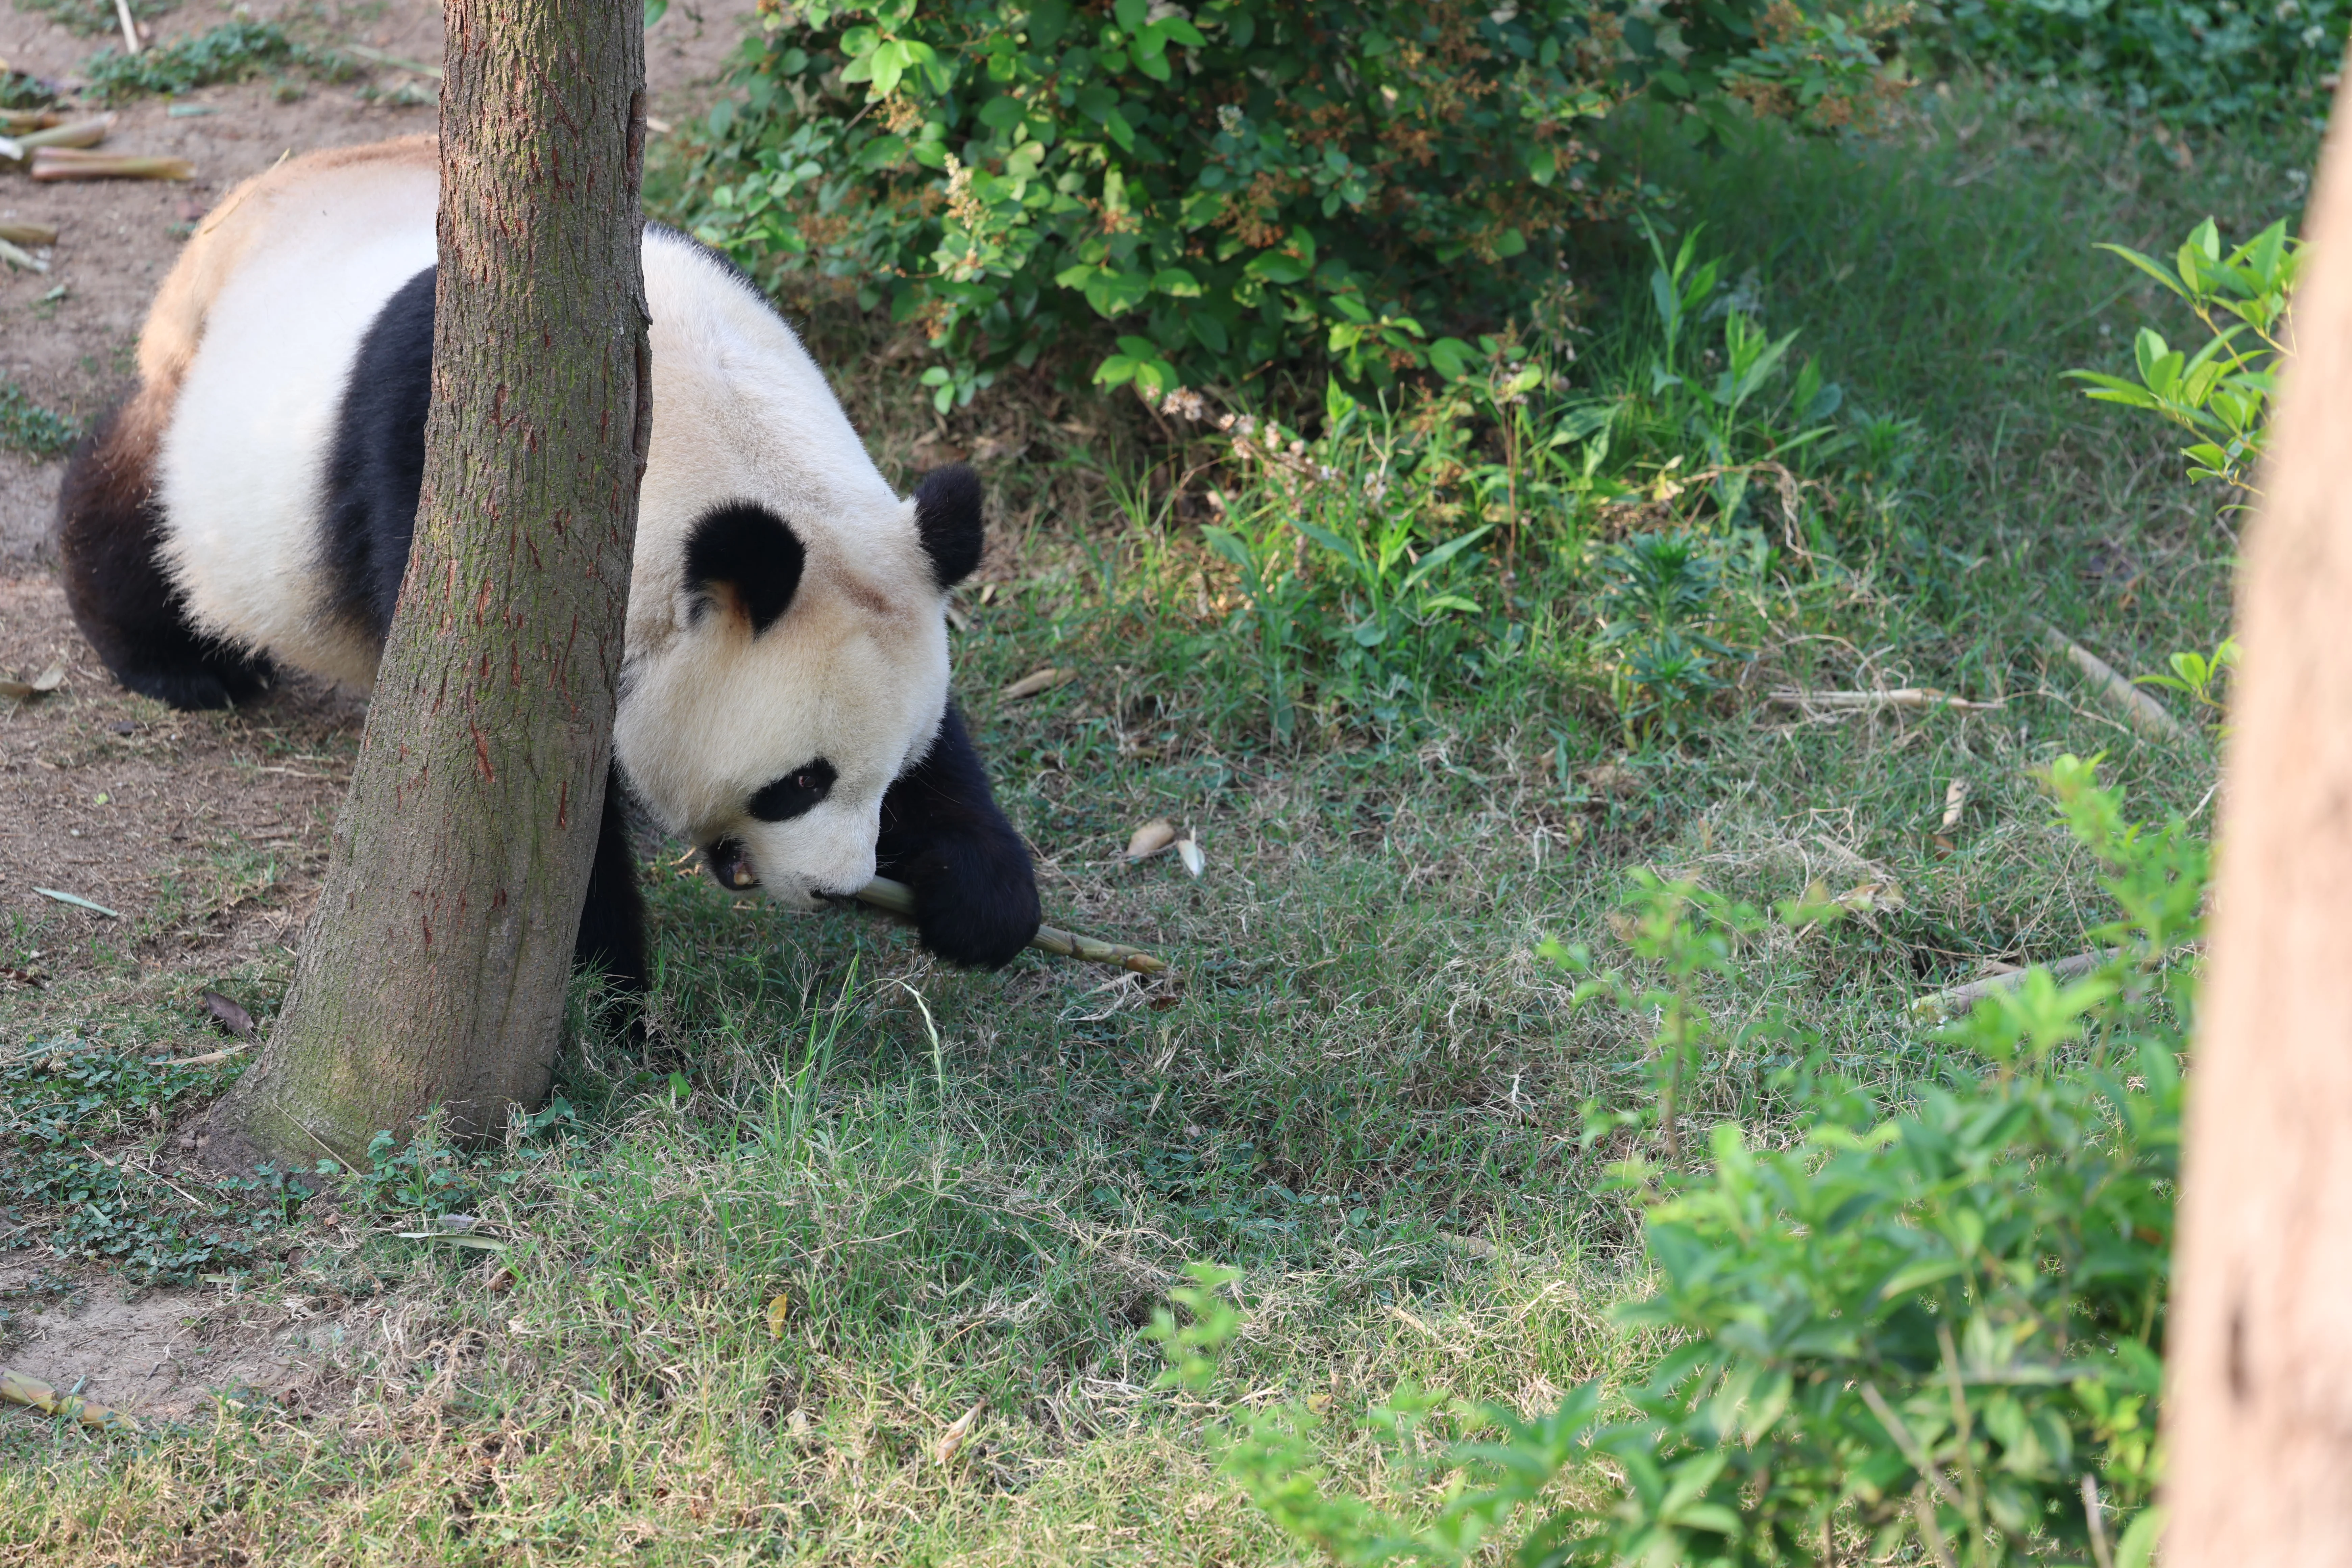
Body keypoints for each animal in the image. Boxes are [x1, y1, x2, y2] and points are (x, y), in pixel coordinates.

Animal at [54, 134, 1040, 993]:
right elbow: (519, 813)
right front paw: (611, 997)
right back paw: (178, 663)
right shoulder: (447, 494)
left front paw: (983, 901)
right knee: (137, 497)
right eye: (799, 783)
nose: (838, 886)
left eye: (892, 769)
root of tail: (258, 194)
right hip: (210, 407)